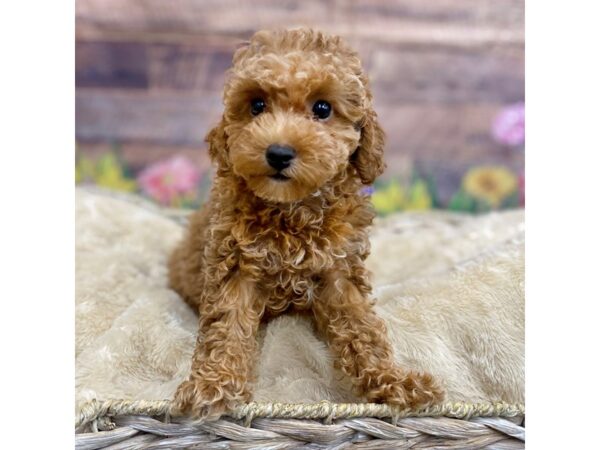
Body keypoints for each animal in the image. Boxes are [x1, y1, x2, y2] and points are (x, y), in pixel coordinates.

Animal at [169, 28, 446, 418]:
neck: (291, 211)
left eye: (322, 109)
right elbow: (226, 327)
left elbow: (362, 327)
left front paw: (394, 382)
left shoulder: (340, 270)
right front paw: (214, 385)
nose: (279, 153)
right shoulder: (234, 266)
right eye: (257, 106)